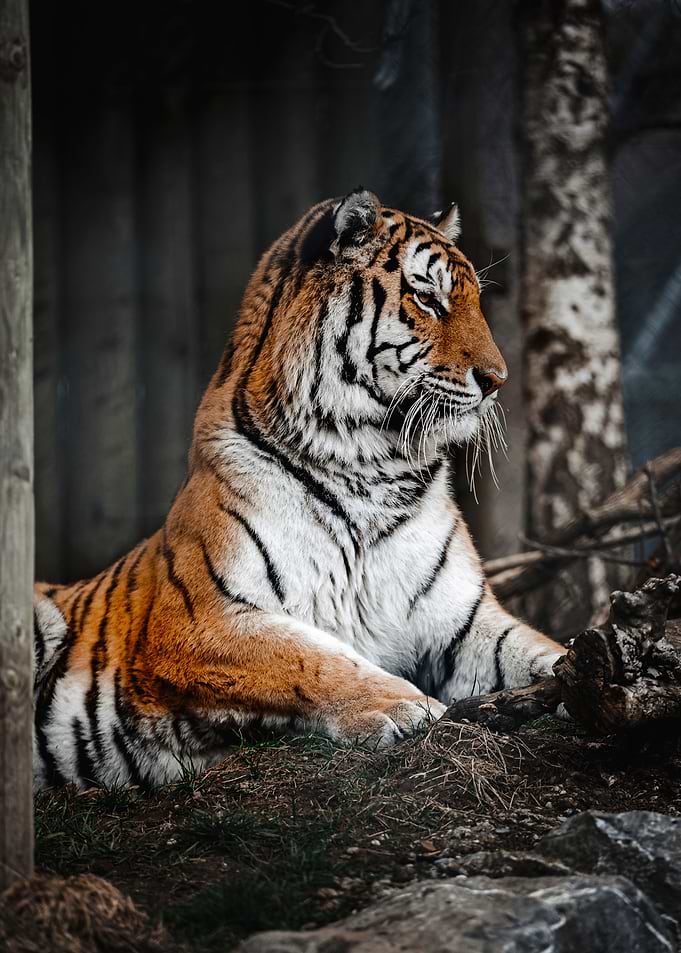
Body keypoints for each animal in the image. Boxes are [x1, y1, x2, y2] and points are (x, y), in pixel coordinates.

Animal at [33, 189, 564, 789]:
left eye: (474, 300)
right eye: (427, 298)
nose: (497, 381)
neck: (374, 465)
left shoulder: (464, 623)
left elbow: (537, 649)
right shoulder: (198, 621)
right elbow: (313, 658)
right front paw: (404, 706)